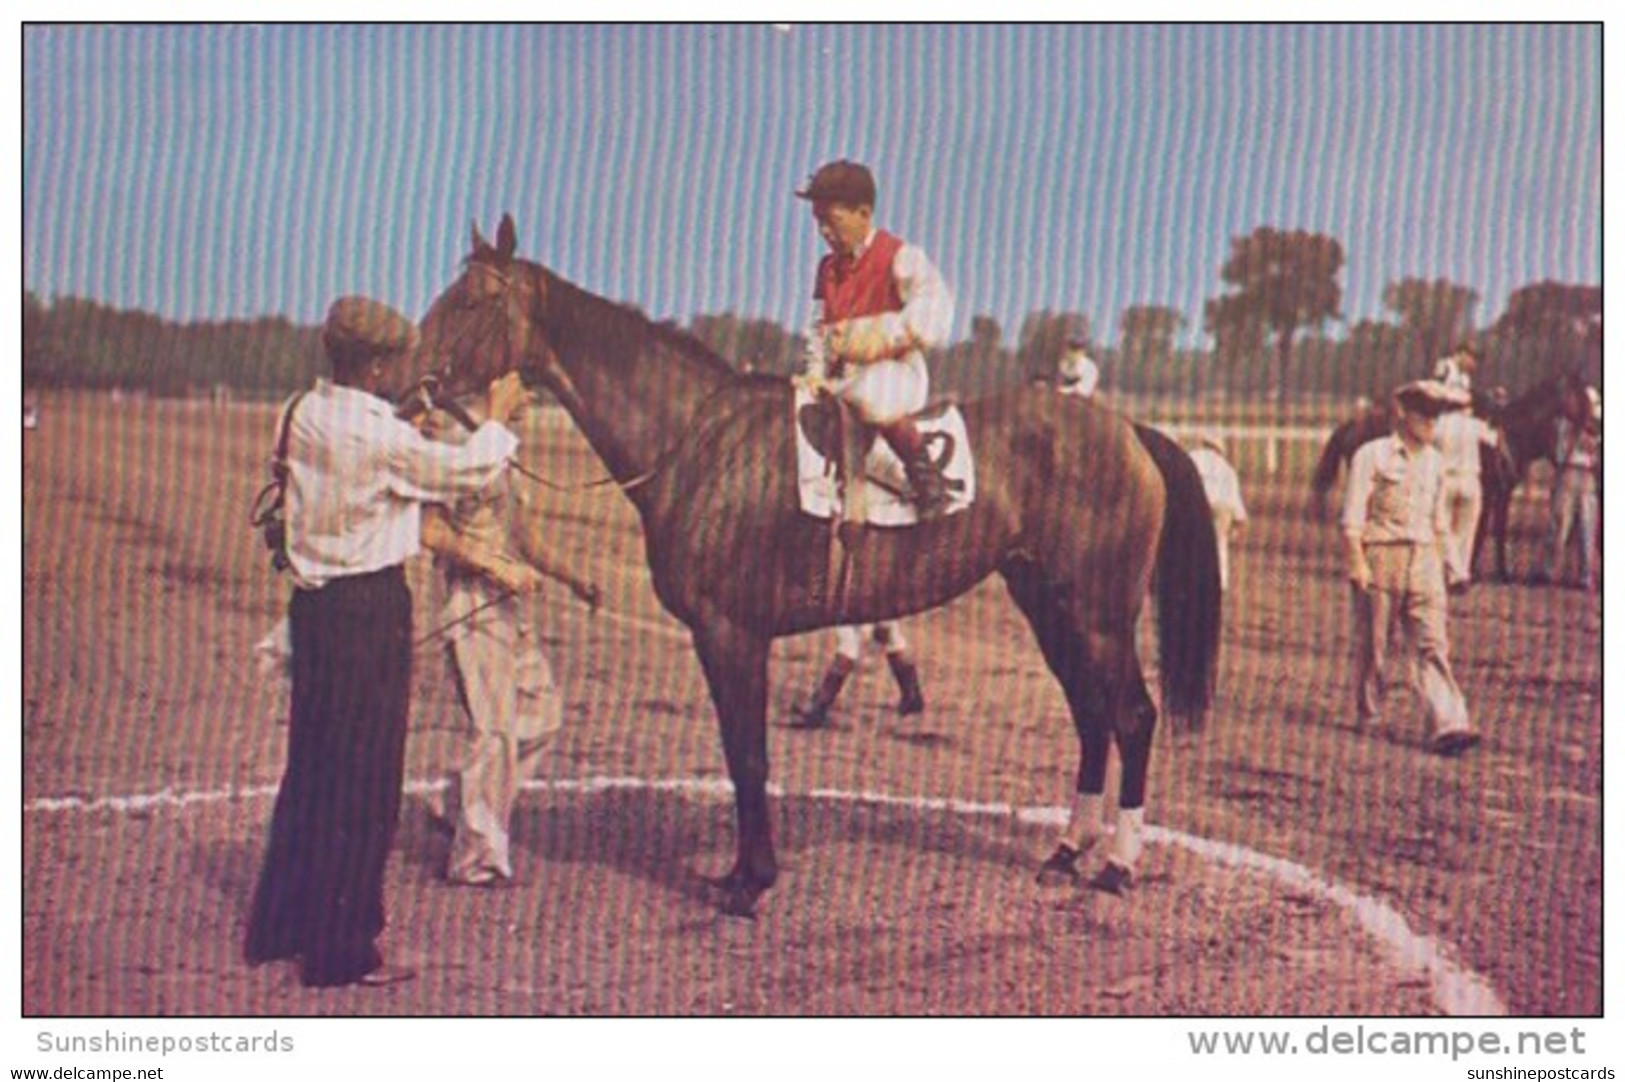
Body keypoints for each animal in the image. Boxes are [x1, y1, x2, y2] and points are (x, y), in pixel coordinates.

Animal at [409, 214, 1222, 916]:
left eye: (473, 300)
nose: (410, 379)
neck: (694, 439)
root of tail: (1128, 430)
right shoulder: (721, 638)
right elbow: (740, 753)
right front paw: (740, 872)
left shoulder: (730, 633)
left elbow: (749, 756)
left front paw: (751, 883)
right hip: (1048, 604)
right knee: (1090, 715)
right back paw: (1064, 852)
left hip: (1099, 612)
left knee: (1132, 714)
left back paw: (1117, 865)